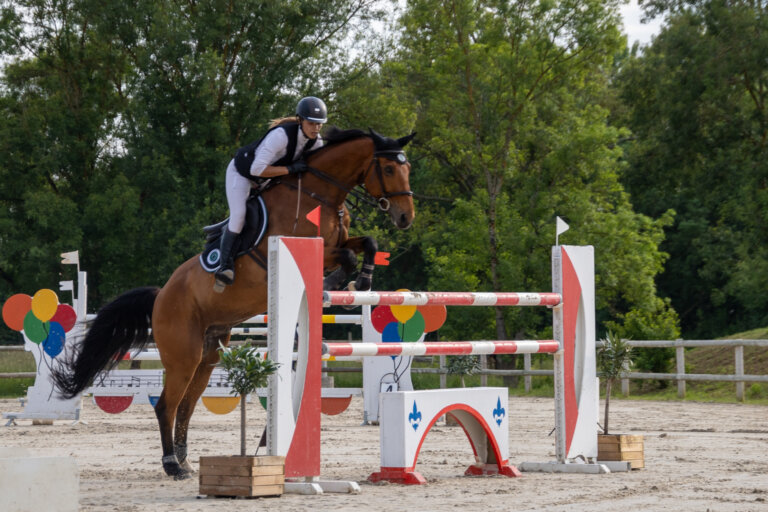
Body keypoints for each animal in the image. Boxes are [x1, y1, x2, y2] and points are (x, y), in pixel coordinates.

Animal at [52, 127, 415, 479]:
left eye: (407, 167)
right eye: (387, 168)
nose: (405, 218)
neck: (321, 194)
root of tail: (161, 296)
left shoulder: (341, 240)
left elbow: (367, 243)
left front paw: (362, 281)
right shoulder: (312, 247)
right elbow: (347, 256)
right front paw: (335, 282)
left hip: (207, 354)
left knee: (186, 405)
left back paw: (185, 462)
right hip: (183, 356)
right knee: (167, 406)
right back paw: (172, 465)